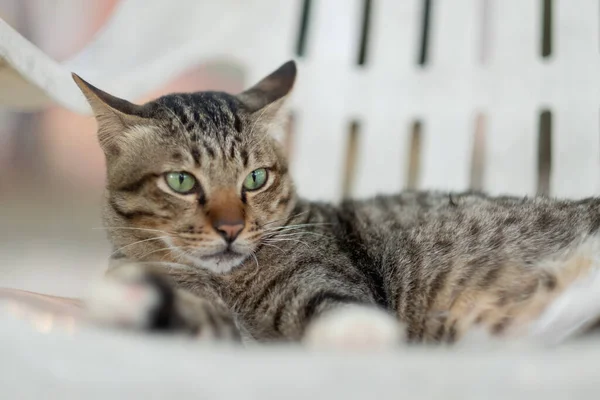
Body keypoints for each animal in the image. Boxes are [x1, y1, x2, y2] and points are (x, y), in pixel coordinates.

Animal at [72, 60, 600, 350]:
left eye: (256, 179)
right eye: (181, 181)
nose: (231, 228)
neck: (229, 283)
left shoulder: (328, 282)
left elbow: (341, 310)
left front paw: (363, 334)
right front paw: (133, 298)